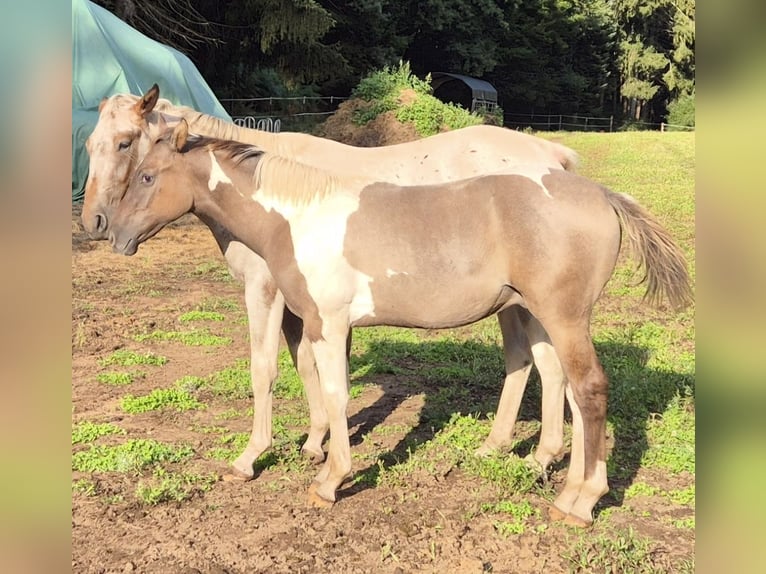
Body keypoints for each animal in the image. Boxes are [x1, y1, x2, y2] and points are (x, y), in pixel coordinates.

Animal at [82, 84, 579, 480]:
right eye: (89, 144)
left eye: (126, 144)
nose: (97, 223)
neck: (273, 196)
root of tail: (552, 157)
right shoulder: (302, 306)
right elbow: (307, 366)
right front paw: (315, 443)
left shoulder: (264, 292)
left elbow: (266, 370)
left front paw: (252, 457)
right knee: (526, 361)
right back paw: (497, 447)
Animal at [107, 120, 692, 526]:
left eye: (147, 175)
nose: (112, 234)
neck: (299, 217)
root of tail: (600, 194)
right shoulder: (319, 324)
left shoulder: (327, 322)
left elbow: (334, 393)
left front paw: (328, 480)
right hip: (543, 315)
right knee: (564, 387)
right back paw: (557, 481)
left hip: (565, 317)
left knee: (588, 390)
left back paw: (581, 503)